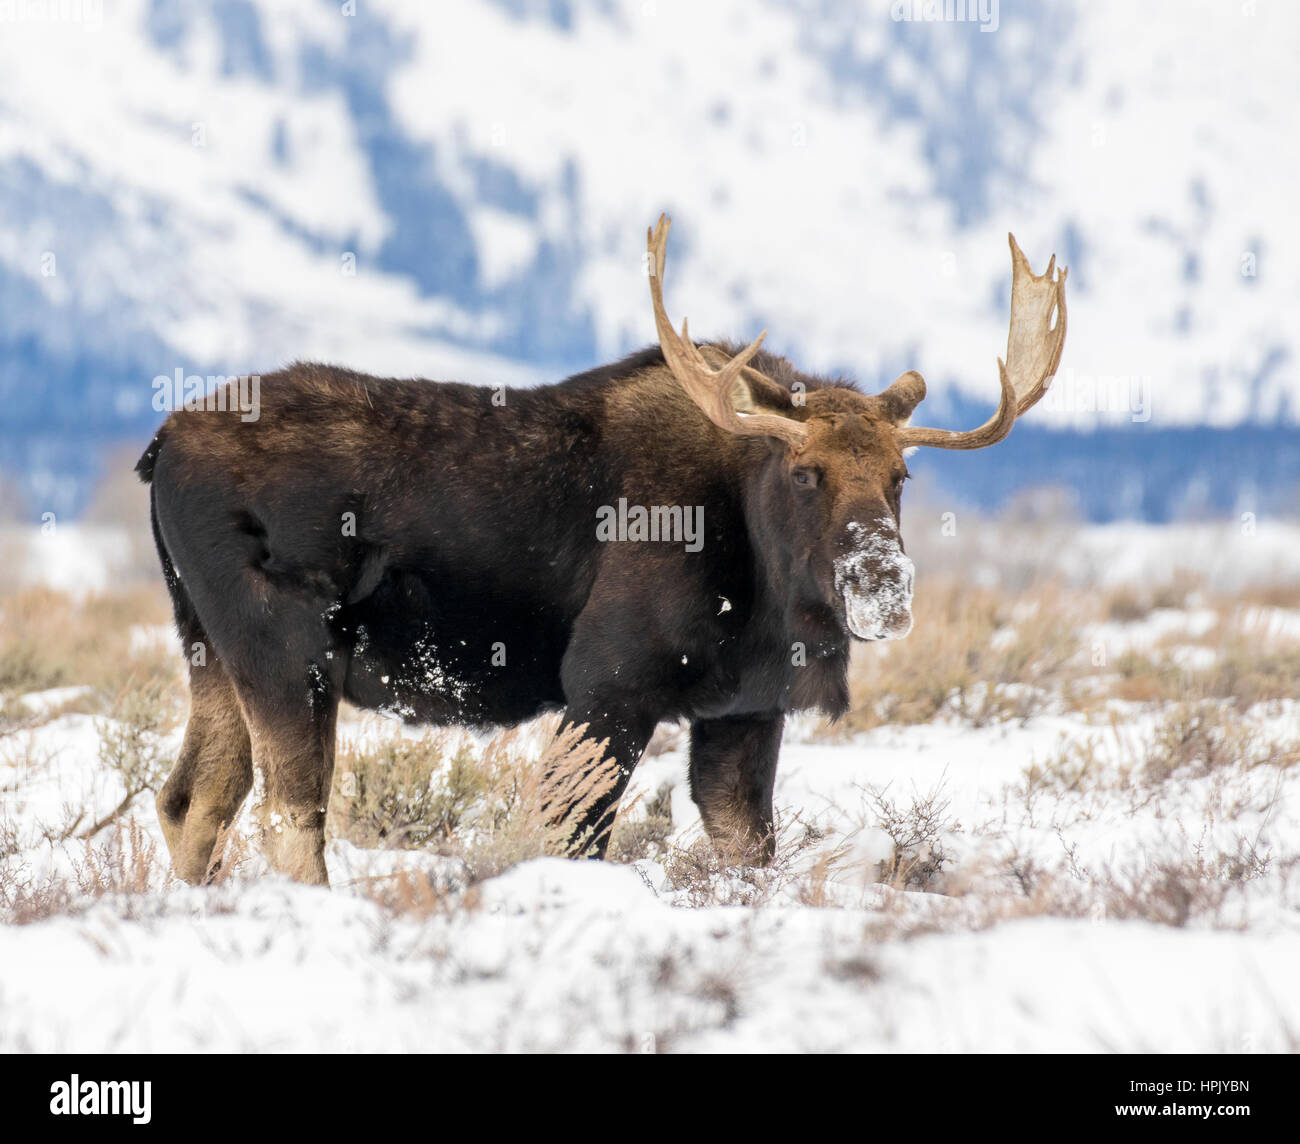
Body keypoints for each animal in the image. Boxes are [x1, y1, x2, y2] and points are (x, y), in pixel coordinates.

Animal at [137, 217, 1066, 883]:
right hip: (286, 649)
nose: (882, 584)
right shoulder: (607, 686)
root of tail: (159, 445)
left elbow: (747, 848)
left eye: (901, 476)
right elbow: (571, 836)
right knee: (290, 817)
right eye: (805, 473)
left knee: (193, 801)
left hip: (209, 648)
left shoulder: (743, 708)